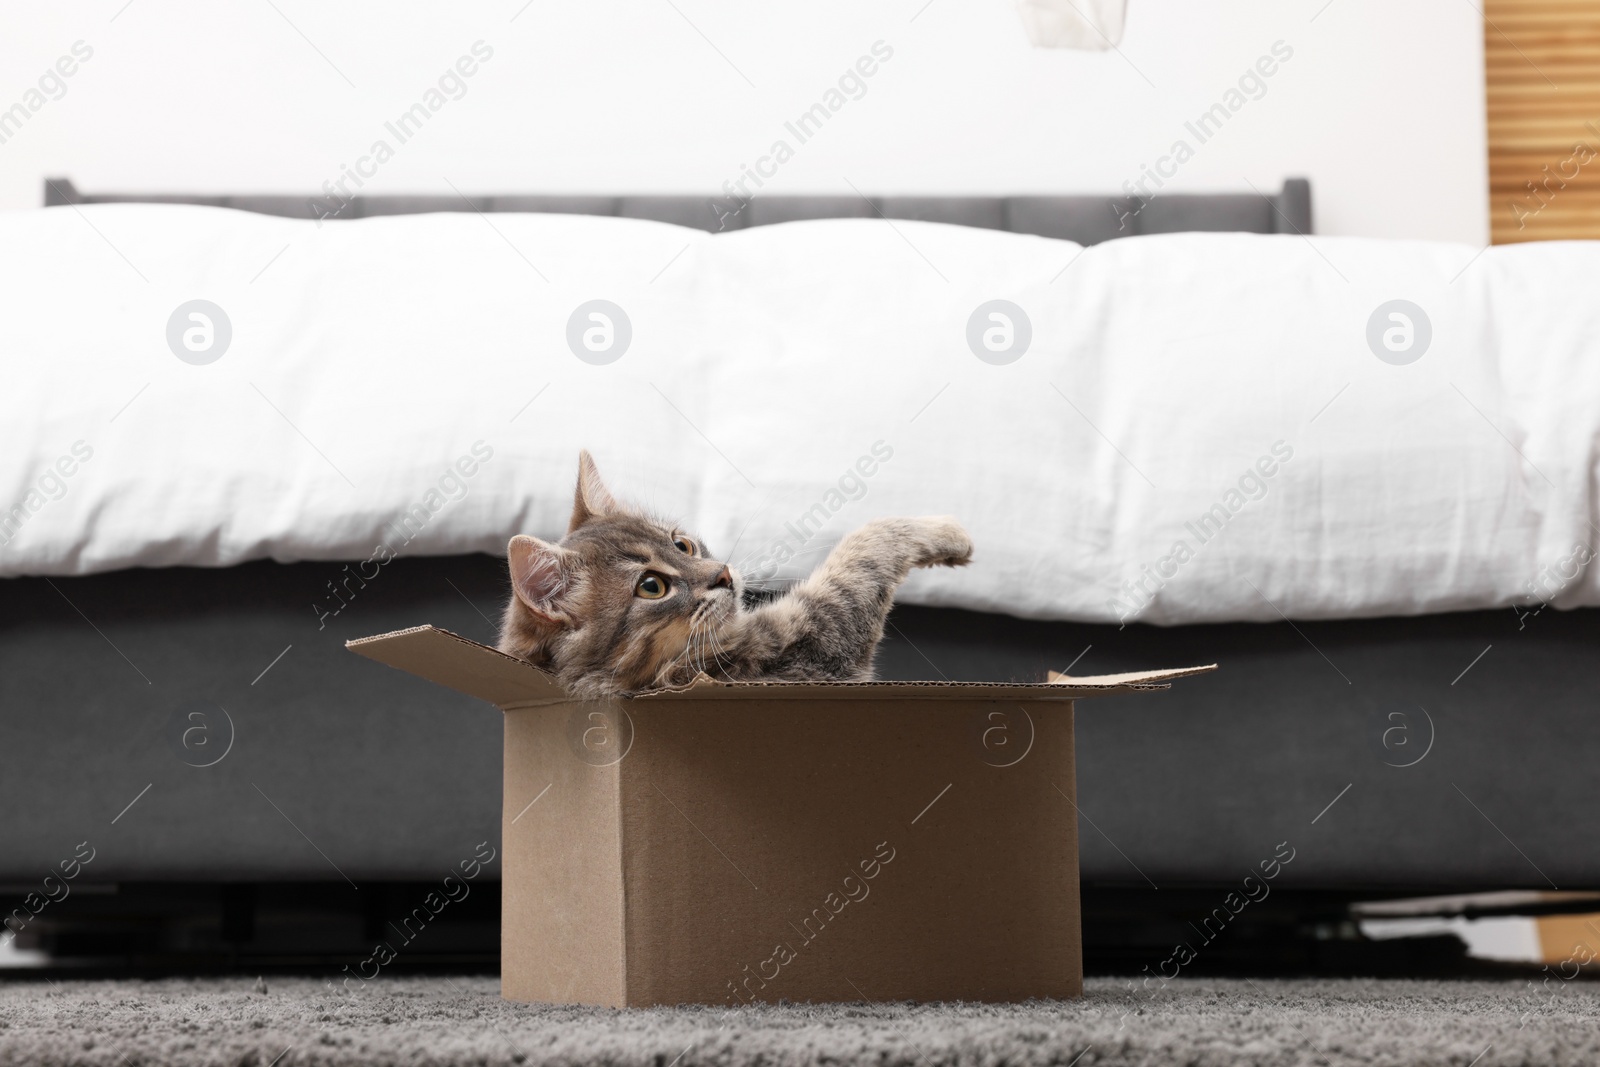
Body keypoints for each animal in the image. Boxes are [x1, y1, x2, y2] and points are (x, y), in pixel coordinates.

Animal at [499, 451, 972, 700]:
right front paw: (952, 534)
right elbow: (871, 537)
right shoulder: (816, 636)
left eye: (683, 545)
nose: (723, 574)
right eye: (652, 587)